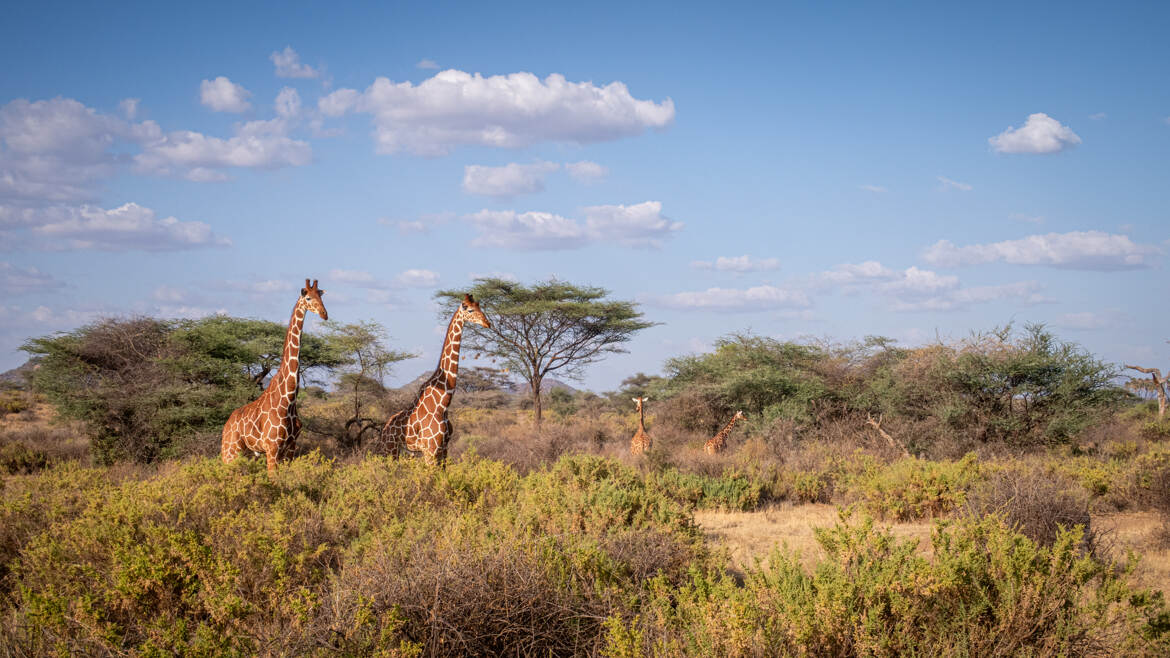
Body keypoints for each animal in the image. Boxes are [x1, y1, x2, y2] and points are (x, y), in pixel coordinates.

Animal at [221, 279, 327, 475]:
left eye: (321, 296)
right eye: (308, 298)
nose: (324, 314)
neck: (289, 398)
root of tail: (226, 425)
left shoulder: (291, 448)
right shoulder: (272, 448)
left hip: (249, 454)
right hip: (230, 452)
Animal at [376, 294, 490, 465]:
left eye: (479, 306)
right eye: (469, 309)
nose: (487, 323)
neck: (443, 403)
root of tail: (384, 430)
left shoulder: (444, 449)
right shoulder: (430, 449)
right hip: (390, 451)